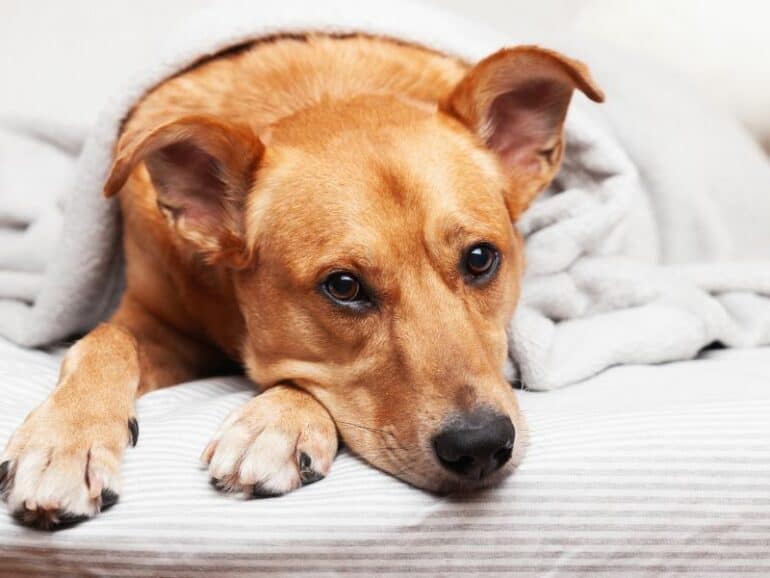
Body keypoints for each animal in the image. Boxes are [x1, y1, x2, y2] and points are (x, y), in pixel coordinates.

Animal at [0, 31, 600, 528]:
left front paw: (277, 421)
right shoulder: (155, 320)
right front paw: (64, 442)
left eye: (480, 259)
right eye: (344, 287)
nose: (480, 446)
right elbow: (103, 339)